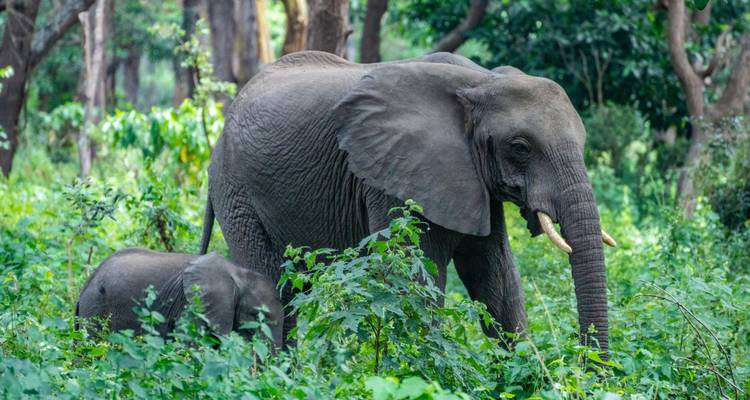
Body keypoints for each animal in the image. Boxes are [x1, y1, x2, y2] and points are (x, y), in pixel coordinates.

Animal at [200, 51, 616, 355]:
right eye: (520, 147)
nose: (591, 370)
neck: (481, 81)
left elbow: (495, 278)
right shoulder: (392, 176)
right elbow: (414, 278)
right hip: (236, 191)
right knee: (270, 286)